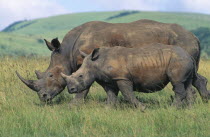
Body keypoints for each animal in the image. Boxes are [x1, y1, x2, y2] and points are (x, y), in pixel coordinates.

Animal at [60, 44, 197, 109]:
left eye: (80, 76)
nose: (70, 90)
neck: (97, 62)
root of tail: (188, 55)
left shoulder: (122, 78)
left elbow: (127, 94)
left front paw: (143, 108)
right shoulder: (109, 80)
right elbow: (111, 96)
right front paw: (107, 109)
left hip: (178, 60)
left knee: (177, 83)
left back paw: (171, 109)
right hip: (183, 60)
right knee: (187, 84)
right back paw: (189, 109)